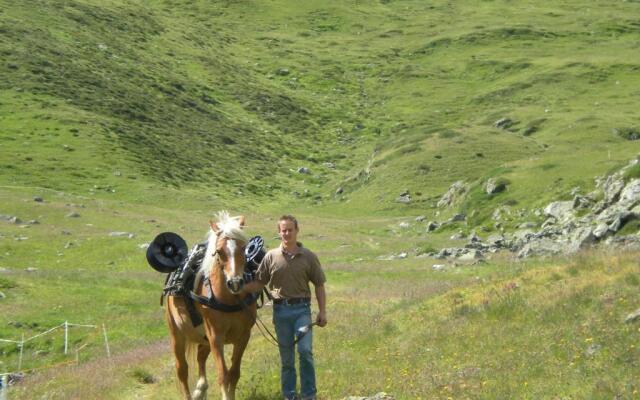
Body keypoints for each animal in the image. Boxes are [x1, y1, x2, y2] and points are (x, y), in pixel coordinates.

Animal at [164, 211, 256, 398]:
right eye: (219, 251)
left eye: (244, 248)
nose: (235, 283)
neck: (230, 299)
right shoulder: (215, 337)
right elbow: (223, 375)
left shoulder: (244, 336)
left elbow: (234, 373)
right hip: (177, 333)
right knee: (182, 369)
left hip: (204, 338)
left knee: (200, 356)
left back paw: (200, 388)